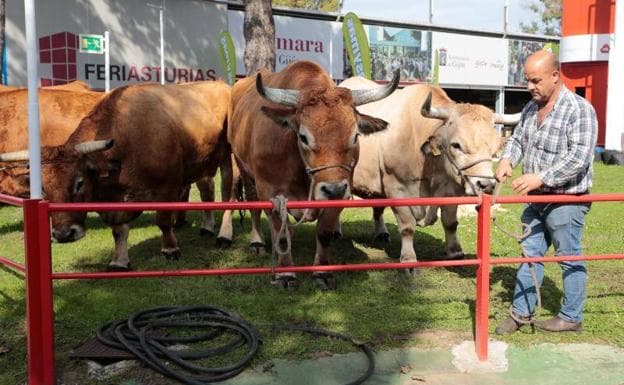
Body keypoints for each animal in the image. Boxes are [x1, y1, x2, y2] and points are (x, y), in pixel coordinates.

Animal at [0, 80, 234, 270]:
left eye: (79, 183)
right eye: (43, 188)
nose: (63, 235)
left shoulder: (167, 186)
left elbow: (163, 221)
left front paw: (170, 249)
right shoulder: (114, 202)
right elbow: (118, 231)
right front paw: (119, 260)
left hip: (226, 159)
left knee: (227, 194)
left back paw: (224, 234)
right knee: (207, 190)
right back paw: (207, 226)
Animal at [229, 60, 400, 288]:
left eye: (355, 136)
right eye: (303, 136)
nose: (334, 188)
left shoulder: (338, 195)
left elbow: (324, 234)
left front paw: (323, 272)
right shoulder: (271, 192)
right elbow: (281, 235)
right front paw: (285, 273)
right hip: (244, 169)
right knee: (253, 206)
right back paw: (257, 242)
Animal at [338, 77, 520, 270]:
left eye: (495, 148)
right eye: (456, 145)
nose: (486, 185)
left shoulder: (451, 191)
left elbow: (450, 223)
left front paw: (454, 252)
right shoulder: (396, 188)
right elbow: (407, 226)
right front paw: (409, 258)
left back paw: (381, 234)